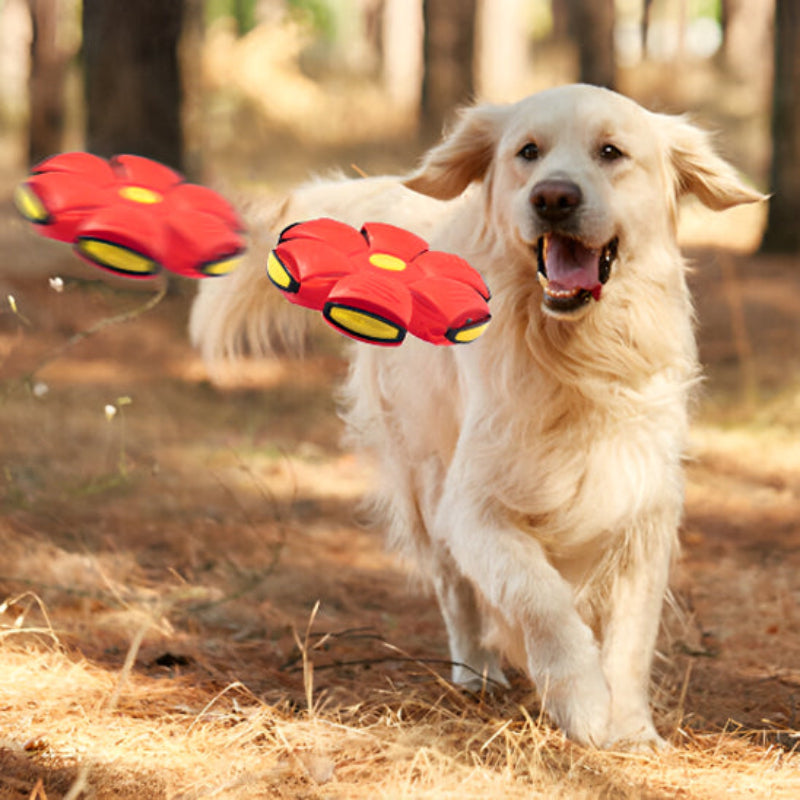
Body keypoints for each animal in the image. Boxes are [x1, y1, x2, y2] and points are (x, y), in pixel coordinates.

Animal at [191, 86, 764, 752]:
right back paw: (476, 673)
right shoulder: (473, 506)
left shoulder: (642, 506)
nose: (553, 197)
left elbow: (631, 636)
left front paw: (631, 730)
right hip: (424, 476)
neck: (574, 356)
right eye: (528, 152)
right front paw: (583, 702)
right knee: (455, 590)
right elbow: (539, 596)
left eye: (611, 152)